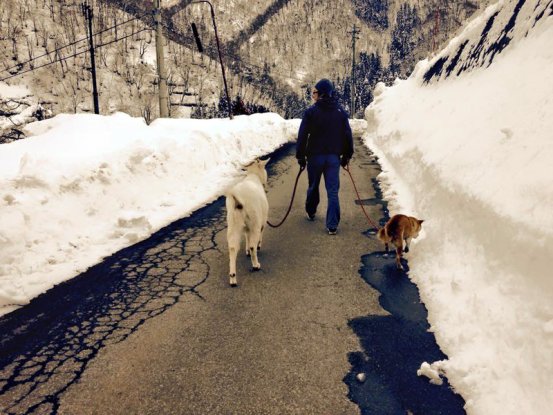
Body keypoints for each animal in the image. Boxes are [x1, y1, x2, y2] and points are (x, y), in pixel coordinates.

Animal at [223, 158, 268, 288]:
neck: (253, 177)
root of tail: (238, 200)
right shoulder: (261, 222)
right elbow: (256, 238)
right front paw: (258, 246)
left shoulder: (247, 227)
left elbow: (247, 237)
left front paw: (246, 250)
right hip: (255, 221)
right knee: (253, 245)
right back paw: (256, 265)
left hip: (233, 223)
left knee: (232, 248)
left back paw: (233, 278)